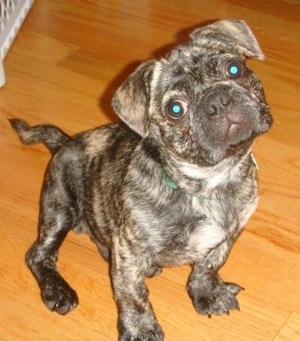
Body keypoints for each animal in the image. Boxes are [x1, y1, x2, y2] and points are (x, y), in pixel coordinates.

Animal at [10, 20, 272, 340]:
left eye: (234, 69)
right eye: (175, 109)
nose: (217, 102)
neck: (209, 182)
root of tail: (65, 142)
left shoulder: (228, 235)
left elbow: (208, 266)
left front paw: (207, 293)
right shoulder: (130, 250)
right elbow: (133, 294)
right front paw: (141, 328)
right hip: (60, 209)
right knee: (39, 254)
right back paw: (58, 291)